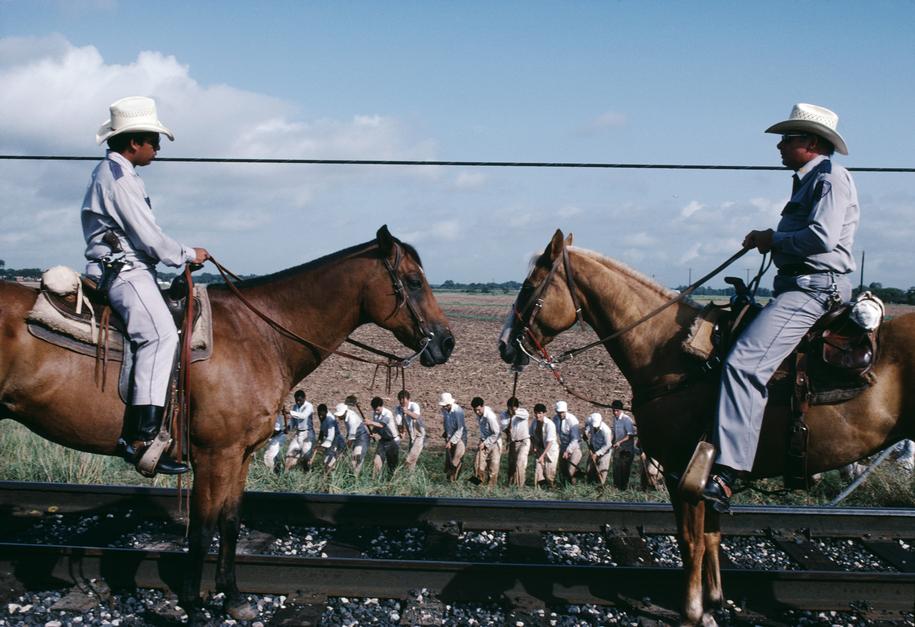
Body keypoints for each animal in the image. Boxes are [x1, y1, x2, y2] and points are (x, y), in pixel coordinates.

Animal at [0, 226, 456, 624]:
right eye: (413, 281)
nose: (447, 342)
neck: (261, 334)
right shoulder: (214, 456)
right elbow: (201, 531)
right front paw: (194, 605)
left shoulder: (241, 454)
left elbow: (231, 523)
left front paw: (234, 598)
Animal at [500, 229, 915, 624]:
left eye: (529, 286)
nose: (505, 345)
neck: (671, 353)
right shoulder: (710, 474)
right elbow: (713, 536)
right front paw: (714, 602)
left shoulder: (682, 471)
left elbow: (691, 541)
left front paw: (692, 611)